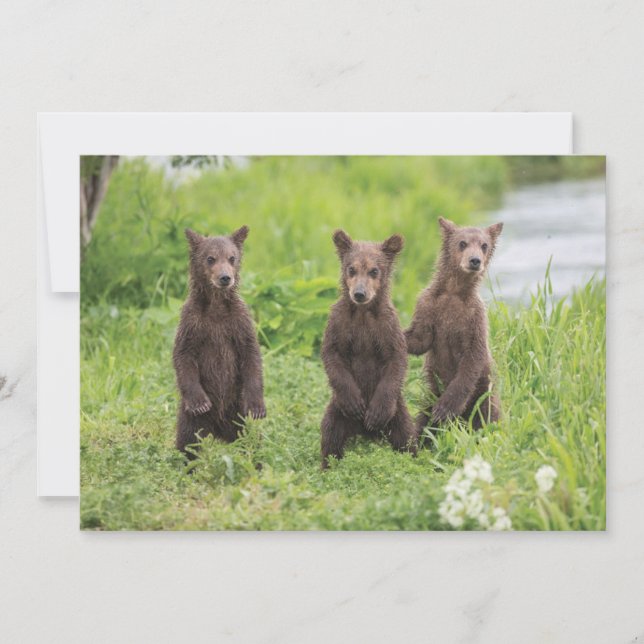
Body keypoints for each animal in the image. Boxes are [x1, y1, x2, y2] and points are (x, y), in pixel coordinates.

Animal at [173, 225, 265, 456]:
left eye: (232, 257)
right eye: (210, 258)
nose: (225, 277)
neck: (216, 306)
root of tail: (218, 431)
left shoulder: (238, 322)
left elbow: (251, 354)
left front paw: (257, 407)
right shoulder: (193, 322)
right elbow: (183, 355)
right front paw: (200, 402)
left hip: (237, 413)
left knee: (251, 439)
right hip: (192, 420)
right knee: (188, 441)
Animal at [320, 229, 418, 468]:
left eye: (374, 270)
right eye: (351, 268)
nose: (359, 293)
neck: (363, 313)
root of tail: (363, 433)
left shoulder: (387, 327)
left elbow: (396, 360)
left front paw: (375, 415)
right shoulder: (339, 324)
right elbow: (331, 355)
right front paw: (355, 403)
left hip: (398, 413)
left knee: (406, 437)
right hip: (336, 411)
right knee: (330, 435)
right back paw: (327, 465)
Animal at [404, 217, 503, 432]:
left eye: (484, 245)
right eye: (462, 243)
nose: (475, 260)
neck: (454, 291)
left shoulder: (474, 317)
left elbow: (472, 358)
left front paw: (445, 408)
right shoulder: (428, 306)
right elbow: (420, 338)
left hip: (483, 393)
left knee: (487, 415)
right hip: (431, 393)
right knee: (423, 419)